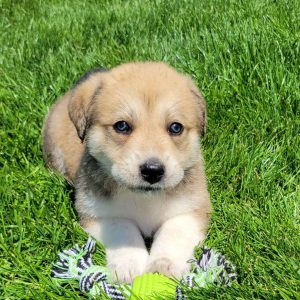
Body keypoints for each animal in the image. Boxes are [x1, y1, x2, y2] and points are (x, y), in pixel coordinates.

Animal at [42, 61, 211, 284]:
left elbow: (174, 232)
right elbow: (123, 228)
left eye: (176, 127)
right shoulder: (97, 213)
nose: (152, 171)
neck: (145, 199)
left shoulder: (193, 209)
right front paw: (128, 266)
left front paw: (164, 266)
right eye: (121, 126)